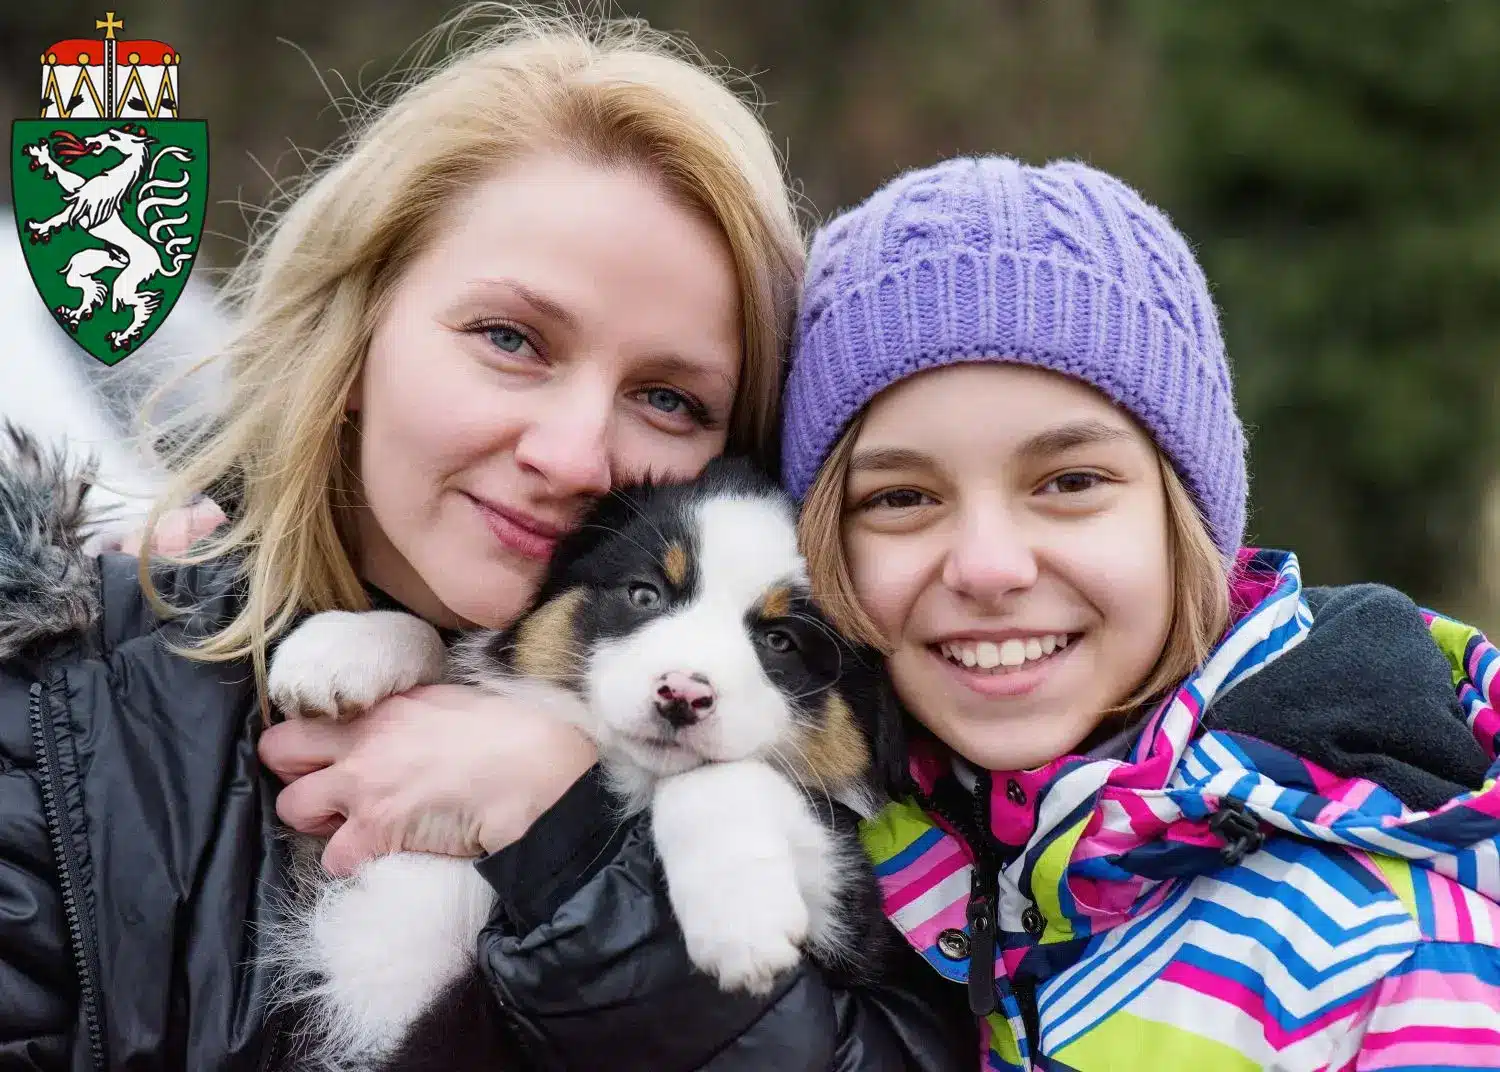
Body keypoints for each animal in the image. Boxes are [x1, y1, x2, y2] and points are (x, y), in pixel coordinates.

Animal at [262, 458, 894, 1072]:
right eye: (644, 595)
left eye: (780, 641)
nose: (682, 695)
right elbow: (450, 644)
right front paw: (336, 649)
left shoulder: (848, 931)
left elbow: (722, 777)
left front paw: (741, 919)